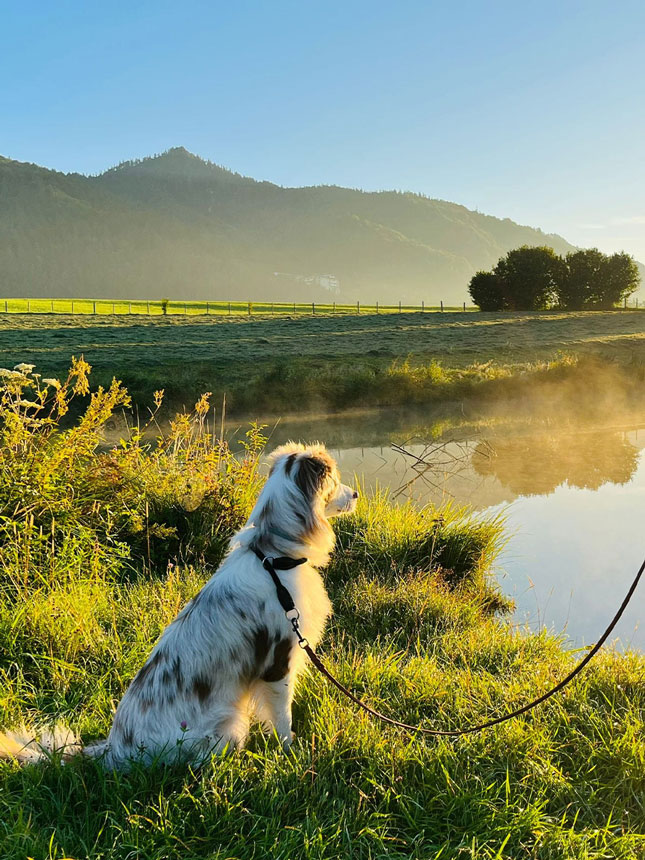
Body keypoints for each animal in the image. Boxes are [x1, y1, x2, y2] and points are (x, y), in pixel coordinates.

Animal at [0, 444, 358, 764]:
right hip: (226, 727)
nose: (355, 494)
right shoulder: (278, 662)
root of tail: (114, 748)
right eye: (336, 480)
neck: (274, 556)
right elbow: (283, 719)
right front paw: (291, 753)